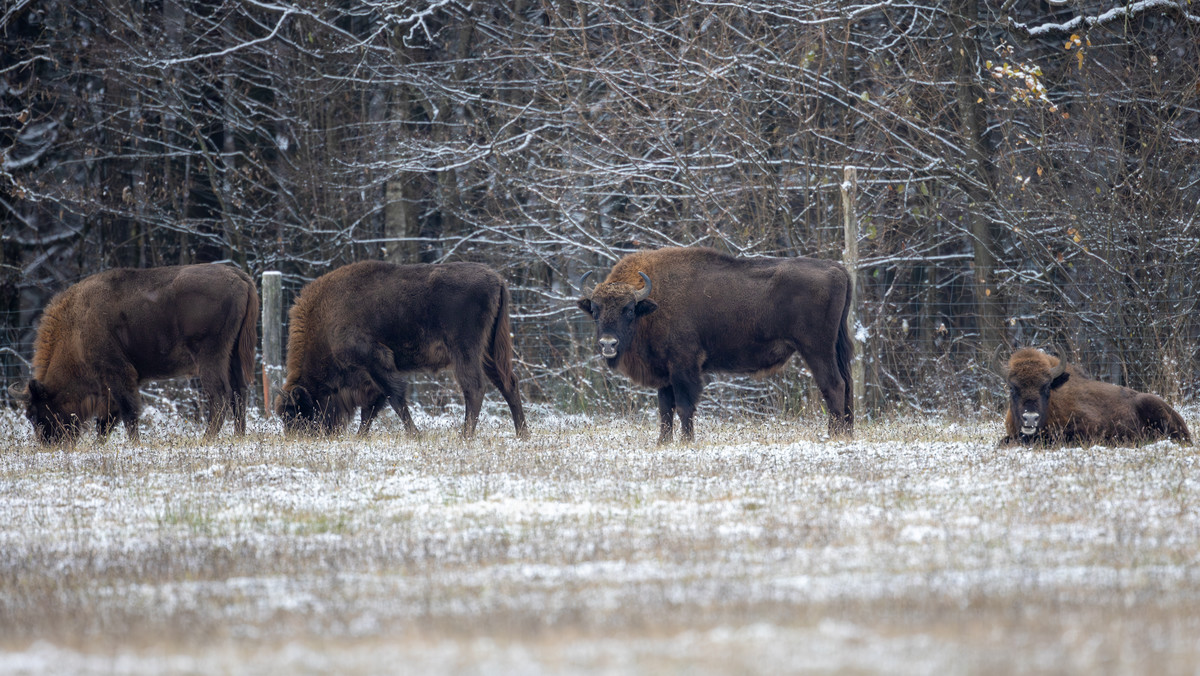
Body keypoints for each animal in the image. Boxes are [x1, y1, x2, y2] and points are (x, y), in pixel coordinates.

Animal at [11, 262, 260, 444]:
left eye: (34, 414)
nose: (48, 444)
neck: (76, 329)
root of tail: (238, 276)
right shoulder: (111, 385)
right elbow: (107, 420)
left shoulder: (118, 375)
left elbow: (127, 413)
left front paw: (134, 444)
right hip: (233, 354)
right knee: (239, 393)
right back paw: (239, 436)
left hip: (210, 356)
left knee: (219, 394)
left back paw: (206, 439)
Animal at [280, 259, 530, 439]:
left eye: (295, 413)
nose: (296, 437)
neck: (325, 320)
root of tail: (497, 279)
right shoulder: (372, 377)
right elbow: (371, 409)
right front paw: (361, 437)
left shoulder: (376, 362)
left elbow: (395, 399)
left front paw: (414, 435)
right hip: (489, 350)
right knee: (508, 382)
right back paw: (522, 434)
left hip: (465, 352)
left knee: (474, 388)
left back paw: (465, 436)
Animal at [578, 244, 854, 444]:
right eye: (595, 310)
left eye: (628, 310)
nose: (608, 344)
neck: (652, 304)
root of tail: (836, 268)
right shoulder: (665, 372)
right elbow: (665, 409)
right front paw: (662, 442)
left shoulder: (683, 367)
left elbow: (684, 406)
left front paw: (687, 441)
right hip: (831, 349)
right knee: (846, 384)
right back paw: (846, 432)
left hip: (816, 349)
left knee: (833, 385)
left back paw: (834, 435)